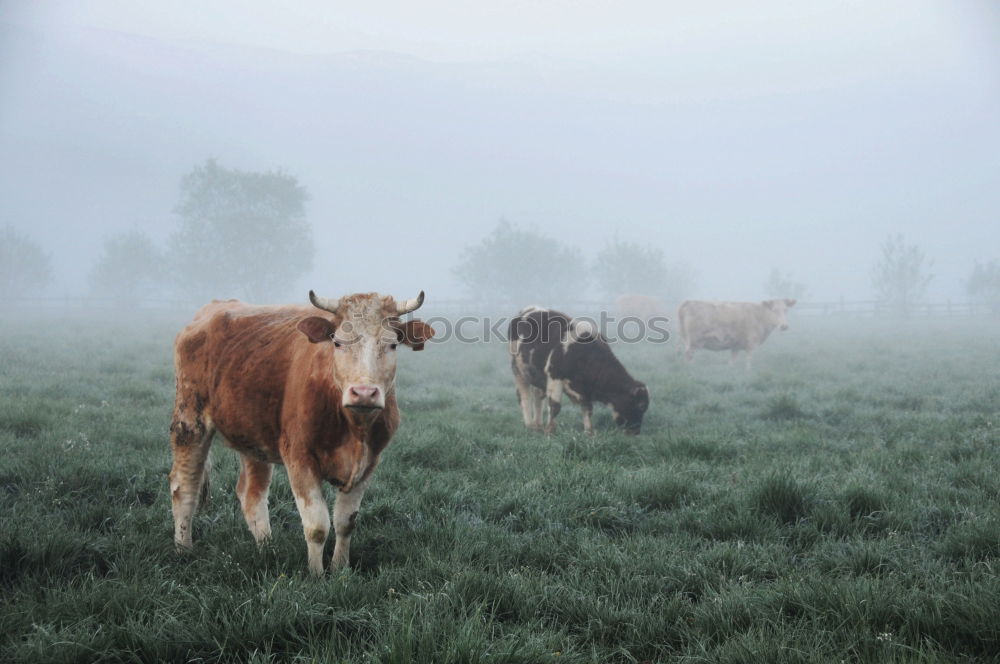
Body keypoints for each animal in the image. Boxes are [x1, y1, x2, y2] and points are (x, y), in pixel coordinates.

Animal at [169, 290, 434, 576]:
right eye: (337, 343)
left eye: (392, 345)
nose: (364, 393)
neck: (353, 428)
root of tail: (214, 308)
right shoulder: (299, 458)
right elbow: (317, 526)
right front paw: (316, 575)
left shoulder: (370, 462)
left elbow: (345, 522)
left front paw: (340, 569)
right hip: (189, 419)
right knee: (184, 486)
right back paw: (183, 549)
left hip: (253, 435)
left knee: (251, 494)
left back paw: (267, 549)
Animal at [508, 306, 648, 436]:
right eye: (640, 406)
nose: (636, 431)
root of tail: (531, 308)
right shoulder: (554, 376)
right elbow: (555, 406)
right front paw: (550, 431)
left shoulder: (585, 390)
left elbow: (587, 409)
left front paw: (589, 432)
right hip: (518, 370)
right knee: (524, 397)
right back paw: (529, 425)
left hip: (536, 375)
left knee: (537, 397)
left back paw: (538, 425)